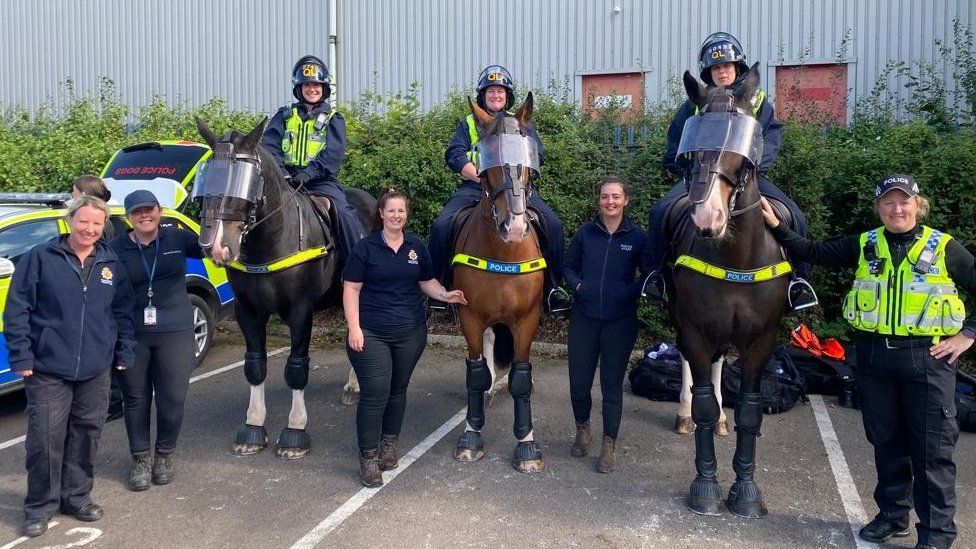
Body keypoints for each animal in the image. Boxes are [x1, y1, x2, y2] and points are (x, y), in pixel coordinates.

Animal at [194, 119, 374, 458]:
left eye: (248, 181)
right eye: (208, 177)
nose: (217, 246)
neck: (273, 241)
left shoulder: (300, 311)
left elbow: (296, 368)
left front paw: (295, 430)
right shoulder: (248, 312)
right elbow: (255, 365)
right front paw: (252, 428)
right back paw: (354, 384)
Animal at [450, 93, 548, 470]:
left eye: (526, 159)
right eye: (486, 157)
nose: (515, 227)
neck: (504, 251)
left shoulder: (527, 319)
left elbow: (521, 378)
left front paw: (526, 443)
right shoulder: (470, 317)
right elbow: (475, 374)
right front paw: (471, 434)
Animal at [668, 64, 788, 520]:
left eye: (740, 146)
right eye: (691, 149)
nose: (708, 218)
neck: (736, 254)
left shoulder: (762, 339)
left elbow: (750, 413)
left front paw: (746, 491)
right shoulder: (694, 327)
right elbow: (702, 399)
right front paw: (705, 486)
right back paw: (686, 415)